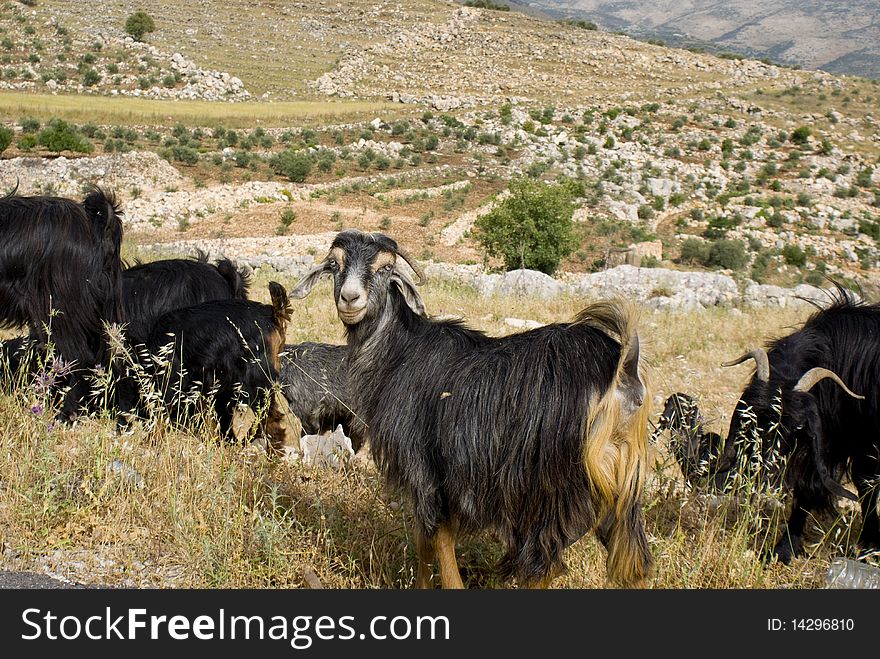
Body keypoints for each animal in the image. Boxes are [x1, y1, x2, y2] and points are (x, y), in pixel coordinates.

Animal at [294, 231, 652, 588]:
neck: (398, 352)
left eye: (384, 268)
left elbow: (434, 538)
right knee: (632, 563)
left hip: (551, 489)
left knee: (543, 565)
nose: (350, 298)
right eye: (334, 265)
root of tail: (622, 371)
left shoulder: (424, 467)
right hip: (619, 486)